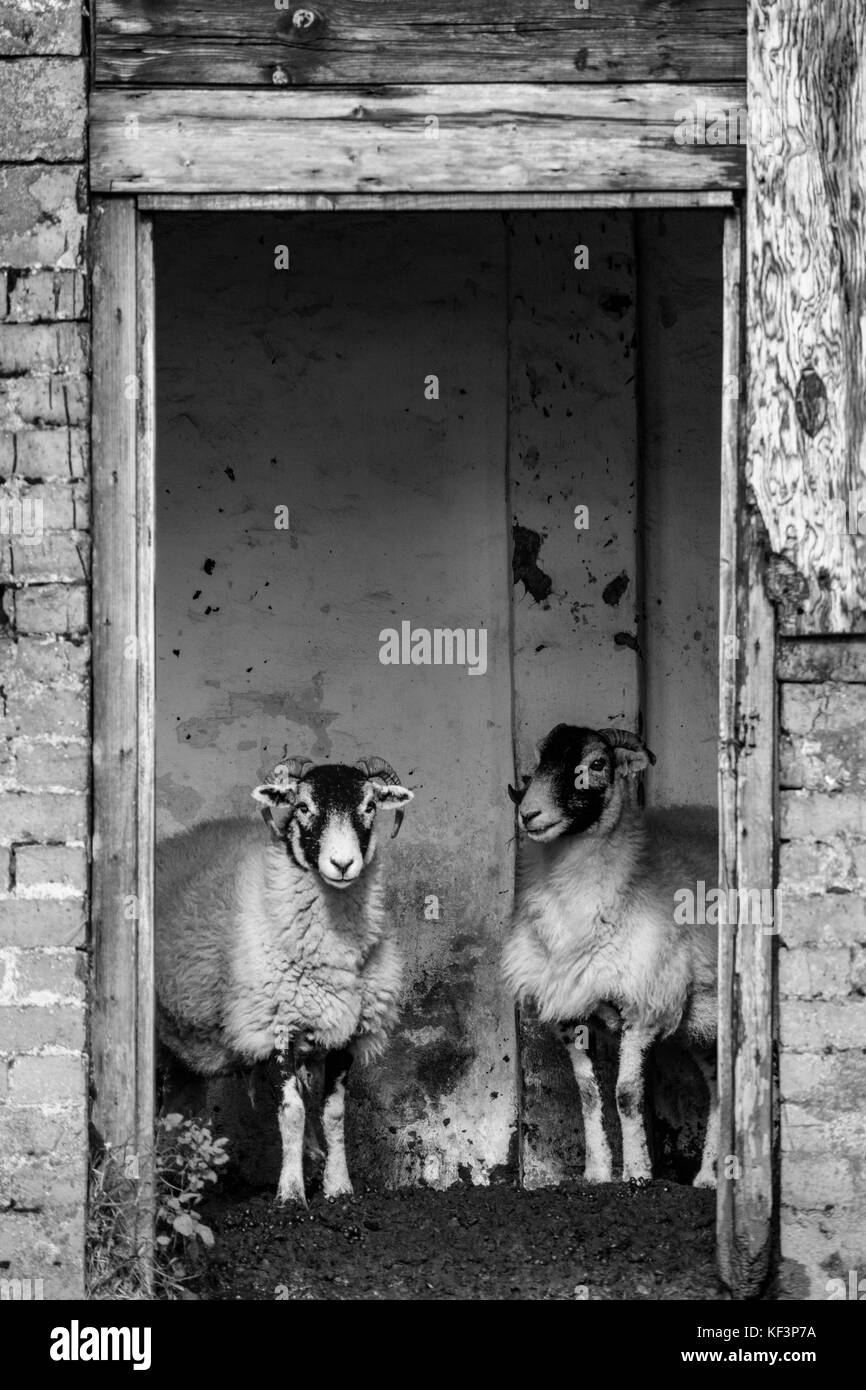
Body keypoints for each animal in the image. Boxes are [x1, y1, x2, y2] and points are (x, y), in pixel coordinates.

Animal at [155, 756, 414, 1200]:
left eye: (369, 806)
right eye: (303, 806)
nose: (342, 865)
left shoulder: (349, 1030)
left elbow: (333, 1114)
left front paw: (338, 1187)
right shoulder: (273, 1026)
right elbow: (292, 1113)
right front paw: (291, 1193)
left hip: (183, 1042)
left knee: (179, 1108)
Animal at [500, 722, 717, 1189]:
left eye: (597, 764)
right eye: (540, 760)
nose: (529, 815)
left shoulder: (644, 1006)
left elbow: (627, 1095)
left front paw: (636, 1174)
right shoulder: (572, 1012)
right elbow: (587, 1095)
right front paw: (597, 1173)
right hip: (700, 1021)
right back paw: (710, 1175)